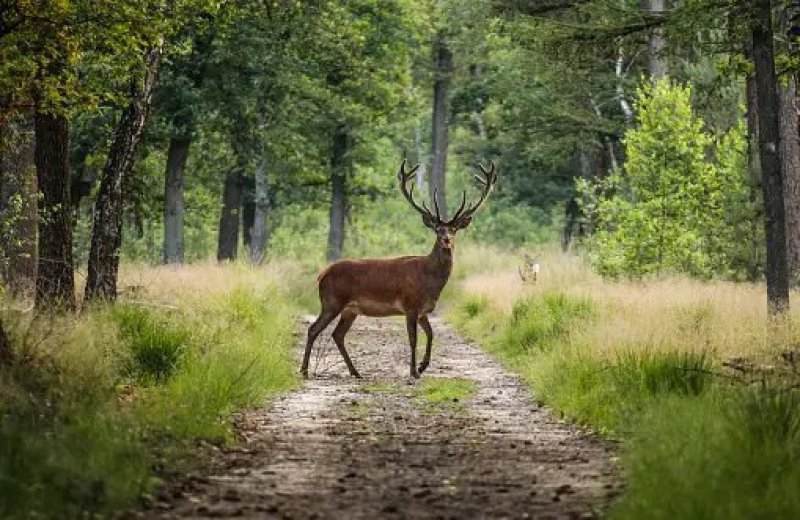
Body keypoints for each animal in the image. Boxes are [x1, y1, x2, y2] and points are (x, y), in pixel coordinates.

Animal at [304, 158, 496, 378]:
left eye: (454, 229)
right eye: (438, 229)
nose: (446, 240)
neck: (429, 280)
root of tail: (322, 274)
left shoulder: (423, 311)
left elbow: (431, 334)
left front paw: (422, 366)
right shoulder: (410, 305)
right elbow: (413, 339)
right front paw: (414, 371)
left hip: (349, 309)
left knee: (337, 334)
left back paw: (355, 372)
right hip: (331, 301)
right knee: (313, 329)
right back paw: (304, 370)